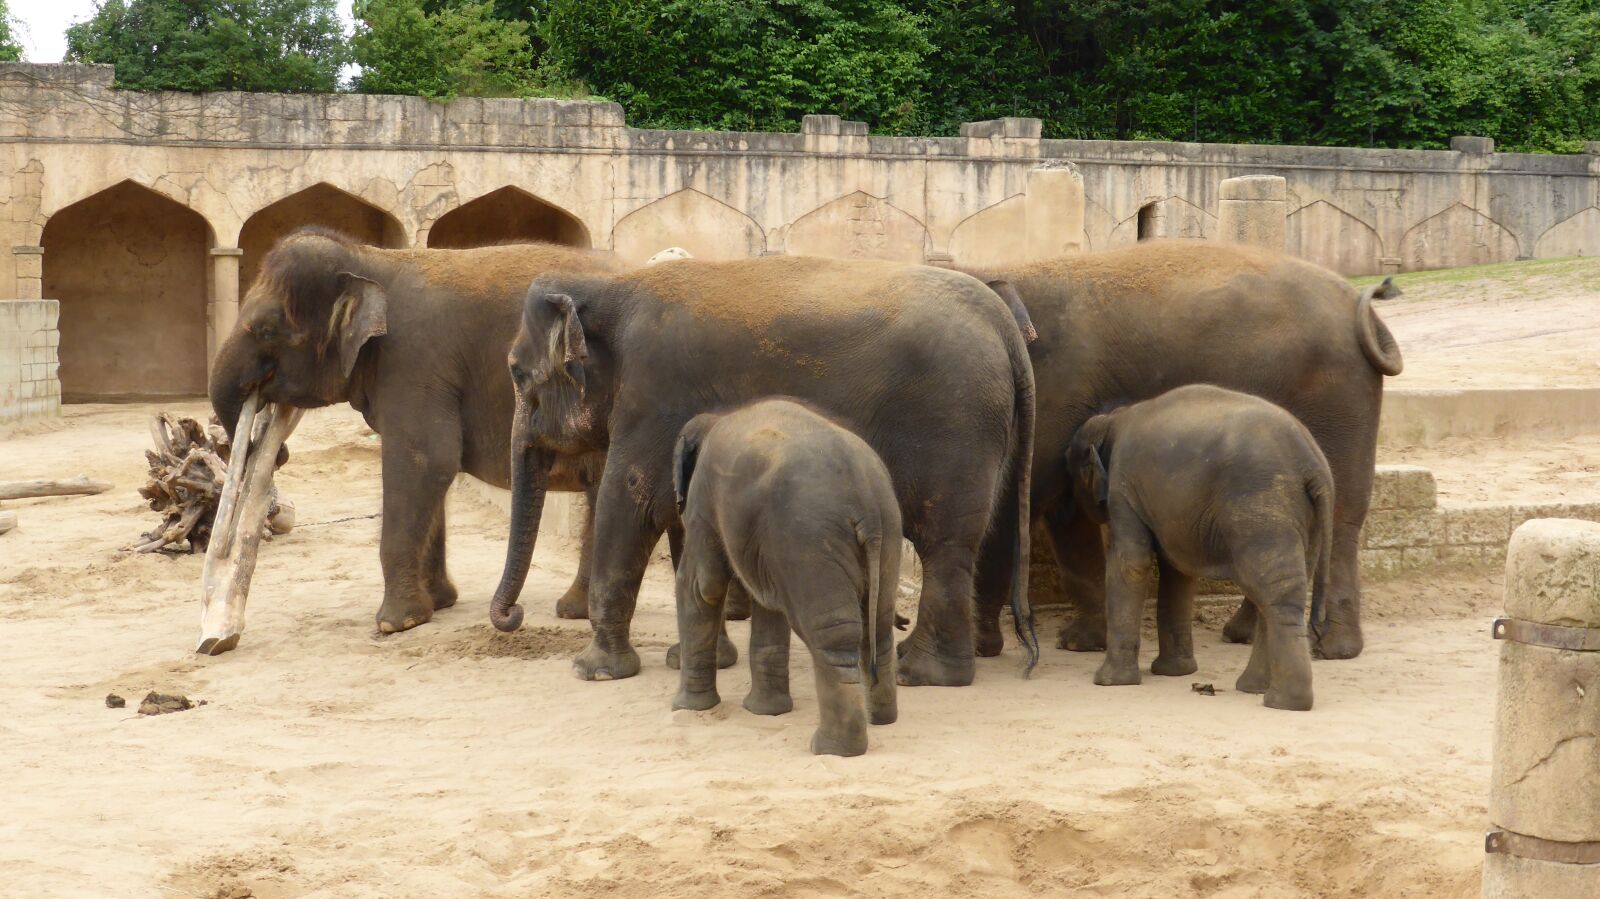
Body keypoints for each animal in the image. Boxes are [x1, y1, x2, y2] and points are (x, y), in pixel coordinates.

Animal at [208, 227, 617, 633]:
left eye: (266, 330)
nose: (278, 451)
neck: (369, 260)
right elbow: (434, 472)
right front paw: (439, 604)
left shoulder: (414, 361)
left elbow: (426, 462)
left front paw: (396, 624)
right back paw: (575, 610)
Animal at [489, 254, 1036, 684]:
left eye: (517, 371)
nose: (513, 615)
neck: (610, 284)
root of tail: (1004, 326)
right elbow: (686, 514)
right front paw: (696, 659)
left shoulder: (653, 394)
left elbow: (632, 500)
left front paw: (594, 670)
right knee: (955, 545)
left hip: (955, 423)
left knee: (944, 543)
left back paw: (919, 673)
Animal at [665, 395, 902, 751]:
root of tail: (867, 505)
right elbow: (767, 604)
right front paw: (765, 712)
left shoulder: (704, 501)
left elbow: (702, 586)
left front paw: (687, 708)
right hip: (887, 534)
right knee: (879, 627)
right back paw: (883, 721)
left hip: (809, 540)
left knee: (835, 635)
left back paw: (831, 748)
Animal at [960, 238, 1401, 659]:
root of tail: (1363, 312)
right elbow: (1067, 517)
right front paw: (1081, 642)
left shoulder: (1053, 393)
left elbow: (1008, 511)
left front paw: (983, 647)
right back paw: (1246, 633)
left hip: (1335, 401)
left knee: (1338, 516)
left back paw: (1333, 648)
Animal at [1062, 380, 1337, 710]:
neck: (1113, 419)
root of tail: (1315, 467)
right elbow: (1177, 571)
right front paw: (1175, 673)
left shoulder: (1123, 486)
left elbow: (1132, 563)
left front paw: (1109, 682)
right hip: (1302, 517)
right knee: (1276, 590)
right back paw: (1254, 689)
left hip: (1261, 507)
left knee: (1275, 589)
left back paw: (1282, 702)